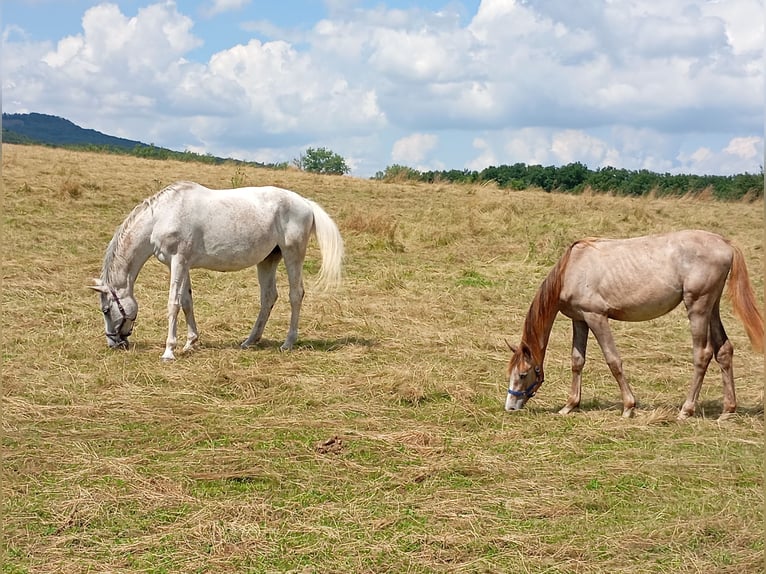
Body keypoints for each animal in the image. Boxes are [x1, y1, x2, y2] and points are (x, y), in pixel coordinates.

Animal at [88, 181, 344, 360]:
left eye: (106, 310)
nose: (113, 344)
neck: (163, 215)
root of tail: (306, 203)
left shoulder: (178, 262)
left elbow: (173, 304)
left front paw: (169, 351)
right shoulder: (182, 264)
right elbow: (186, 301)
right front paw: (190, 343)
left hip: (292, 255)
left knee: (295, 295)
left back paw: (288, 342)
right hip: (268, 260)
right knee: (269, 297)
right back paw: (250, 341)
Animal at [508, 231, 764, 424]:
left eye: (522, 374)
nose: (510, 406)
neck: (572, 269)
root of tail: (725, 243)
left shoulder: (596, 317)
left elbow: (613, 361)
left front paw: (629, 407)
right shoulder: (580, 320)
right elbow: (577, 361)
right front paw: (570, 405)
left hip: (698, 307)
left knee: (703, 354)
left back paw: (686, 410)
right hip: (712, 306)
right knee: (724, 351)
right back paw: (727, 411)